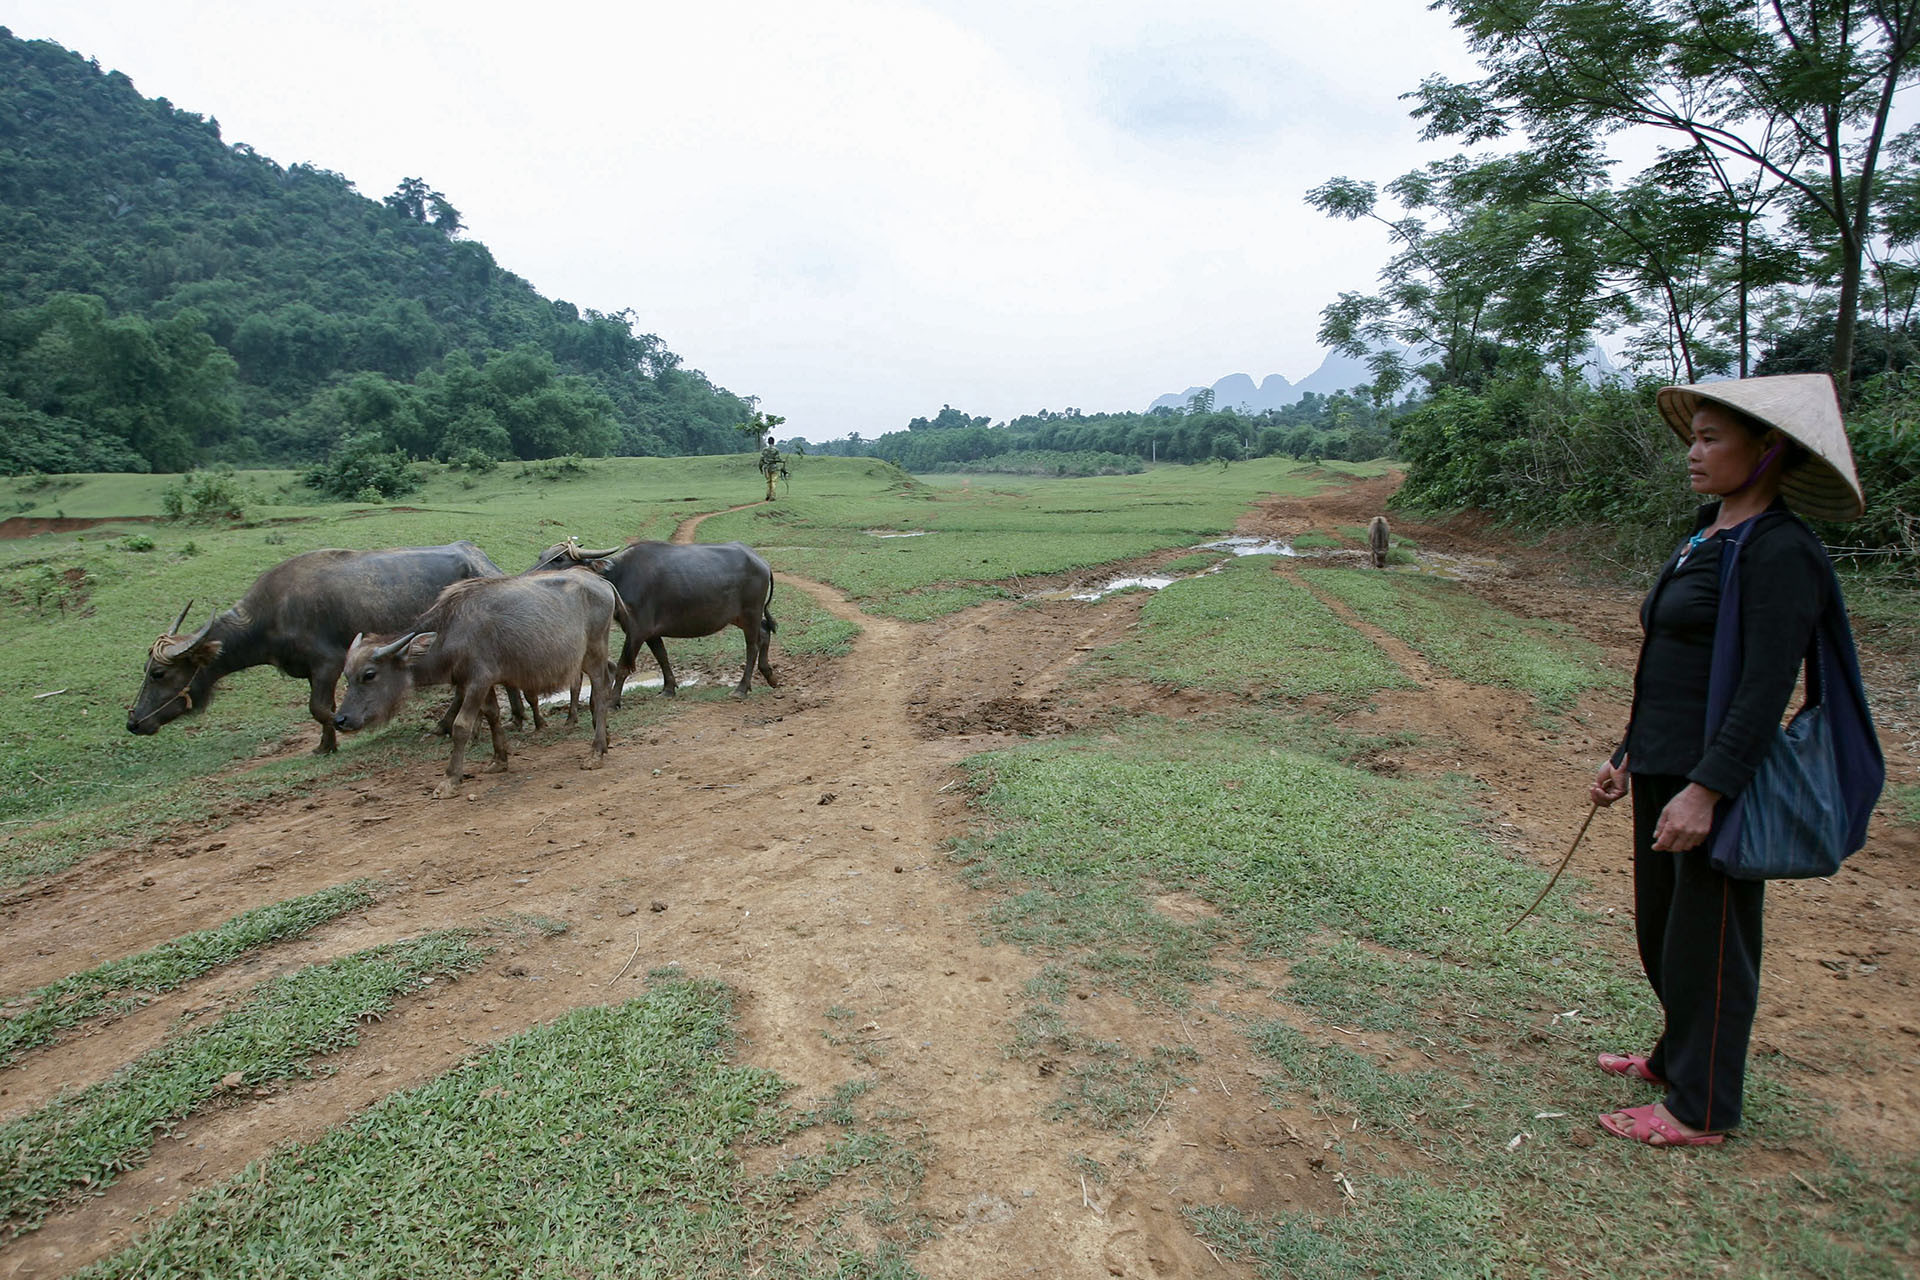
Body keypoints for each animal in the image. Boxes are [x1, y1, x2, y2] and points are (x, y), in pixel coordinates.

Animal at [126, 545, 518, 759]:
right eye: (146, 669)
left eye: (159, 673)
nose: (133, 722)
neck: (271, 616)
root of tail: (481, 560)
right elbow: (322, 707)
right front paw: (328, 742)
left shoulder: (327, 664)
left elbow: (318, 708)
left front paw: (337, 735)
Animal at [334, 568, 618, 794]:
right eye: (346, 675)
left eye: (369, 674)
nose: (341, 720)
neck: (450, 632)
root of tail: (601, 583)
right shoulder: (480, 682)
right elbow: (492, 715)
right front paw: (499, 760)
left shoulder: (477, 681)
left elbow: (461, 726)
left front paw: (450, 779)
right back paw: (605, 739)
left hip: (594, 650)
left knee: (601, 690)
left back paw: (596, 751)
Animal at [529, 537, 775, 702]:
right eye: (541, 556)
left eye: (560, 559)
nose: (530, 574)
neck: (619, 576)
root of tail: (761, 562)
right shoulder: (652, 633)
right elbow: (662, 657)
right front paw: (668, 689)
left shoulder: (637, 631)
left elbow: (623, 666)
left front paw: (613, 700)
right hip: (741, 617)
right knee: (764, 633)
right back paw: (769, 675)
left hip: (751, 613)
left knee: (752, 645)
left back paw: (742, 688)